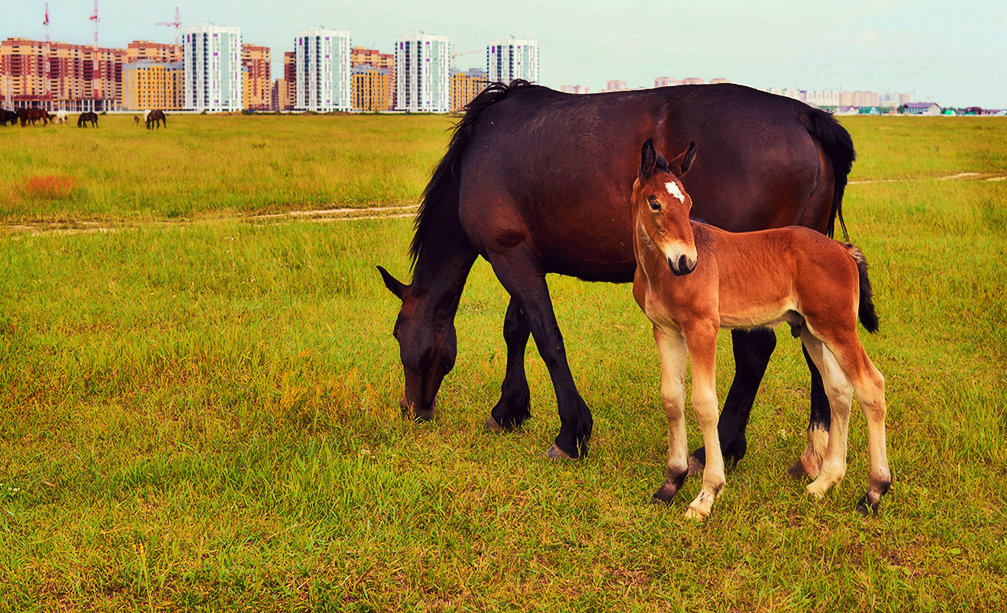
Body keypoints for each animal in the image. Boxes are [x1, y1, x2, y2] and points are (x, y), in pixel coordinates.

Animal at [378, 81, 857, 463]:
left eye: (399, 334)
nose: (411, 409)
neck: (480, 151)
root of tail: (802, 114)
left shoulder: (509, 258)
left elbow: (548, 340)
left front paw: (570, 433)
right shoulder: (521, 258)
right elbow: (517, 329)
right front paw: (509, 410)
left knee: (755, 353)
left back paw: (720, 446)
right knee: (818, 347)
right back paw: (815, 455)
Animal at [628, 140, 890, 519]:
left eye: (689, 203)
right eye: (655, 203)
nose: (687, 262)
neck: (658, 271)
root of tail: (843, 249)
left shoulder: (702, 328)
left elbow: (704, 403)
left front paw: (706, 495)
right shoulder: (665, 331)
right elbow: (672, 399)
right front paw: (670, 484)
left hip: (839, 328)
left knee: (871, 385)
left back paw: (874, 492)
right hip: (812, 330)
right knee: (839, 391)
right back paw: (823, 483)